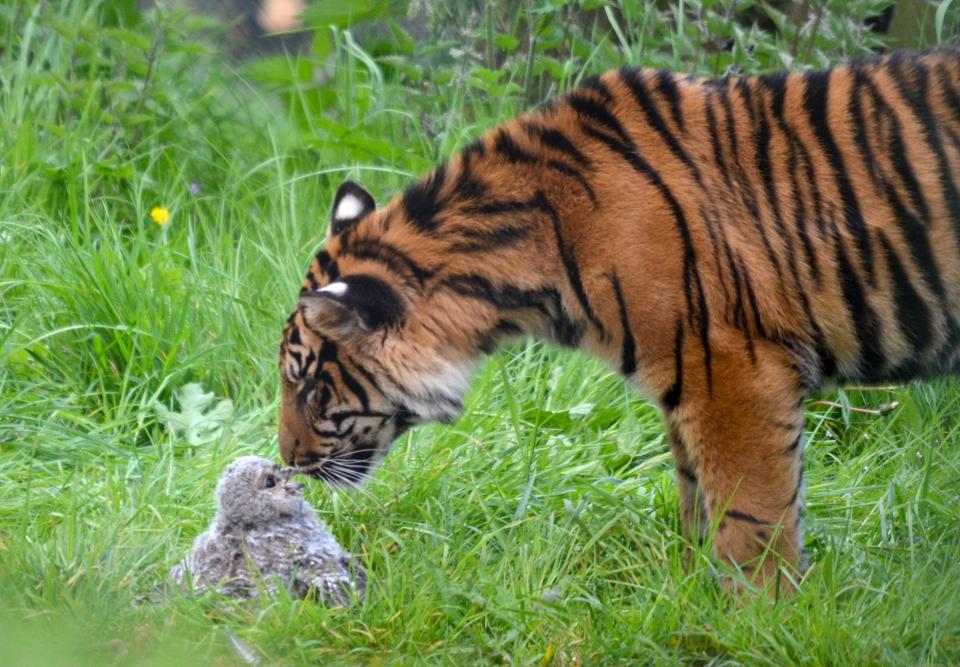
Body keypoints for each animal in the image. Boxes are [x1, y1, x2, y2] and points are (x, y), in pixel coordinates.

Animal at [282, 47, 960, 588]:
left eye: (309, 384)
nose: (286, 462)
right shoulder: (690, 381)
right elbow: (697, 500)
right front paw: (689, 596)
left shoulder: (737, 373)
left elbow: (752, 514)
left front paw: (760, 614)